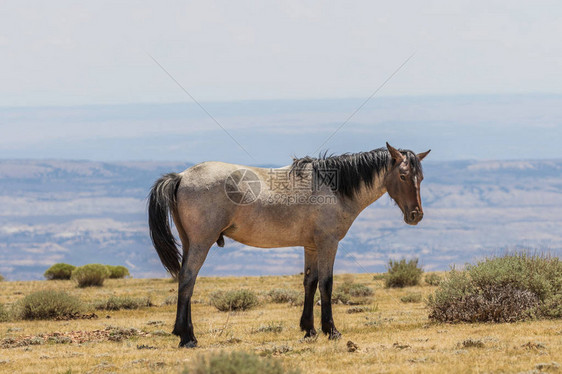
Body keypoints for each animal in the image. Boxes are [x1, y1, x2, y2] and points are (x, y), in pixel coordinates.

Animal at [148, 142, 428, 346]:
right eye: (403, 176)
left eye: (421, 178)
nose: (416, 215)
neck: (334, 188)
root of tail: (181, 177)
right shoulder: (328, 243)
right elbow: (326, 284)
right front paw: (331, 330)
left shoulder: (311, 246)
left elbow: (310, 283)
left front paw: (309, 329)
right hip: (200, 243)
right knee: (188, 278)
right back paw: (187, 337)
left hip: (189, 242)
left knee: (186, 280)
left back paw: (182, 331)